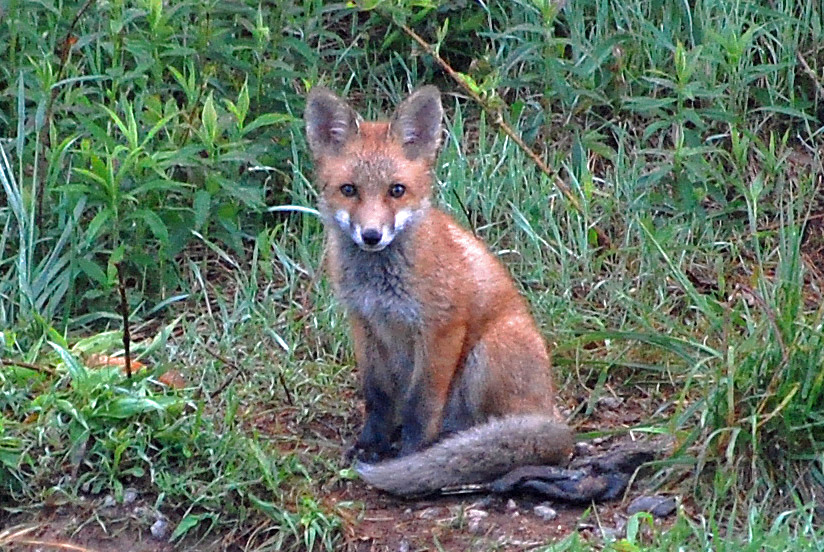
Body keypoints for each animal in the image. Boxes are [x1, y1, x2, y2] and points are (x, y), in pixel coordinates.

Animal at [304, 85, 572, 496]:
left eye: (396, 190)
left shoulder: (441, 327)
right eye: (349, 190)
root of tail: (552, 413)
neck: (380, 284)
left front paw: (411, 454)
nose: (371, 235)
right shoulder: (364, 322)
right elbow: (377, 397)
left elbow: (422, 404)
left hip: (490, 350)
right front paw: (370, 444)